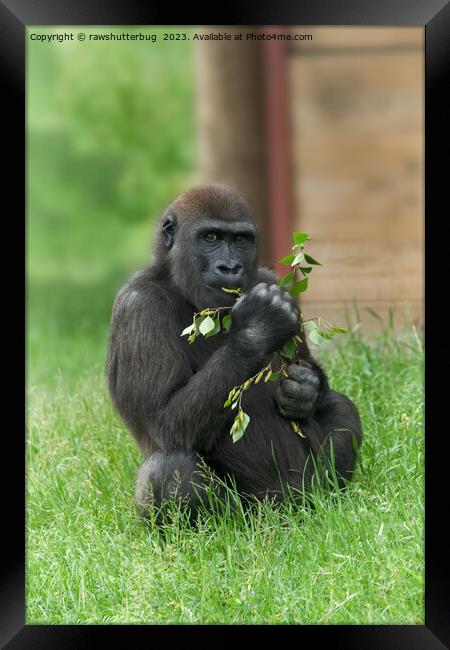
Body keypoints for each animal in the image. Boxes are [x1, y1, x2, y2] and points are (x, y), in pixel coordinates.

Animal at [105, 185, 362, 520]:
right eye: (211, 237)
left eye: (240, 240)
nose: (230, 267)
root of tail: (287, 512)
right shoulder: (138, 306)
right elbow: (164, 422)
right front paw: (259, 327)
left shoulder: (270, 281)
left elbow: (308, 374)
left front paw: (304, 388)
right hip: (252, 515)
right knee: (169, 467)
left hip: (308, 493)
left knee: (339, 405)